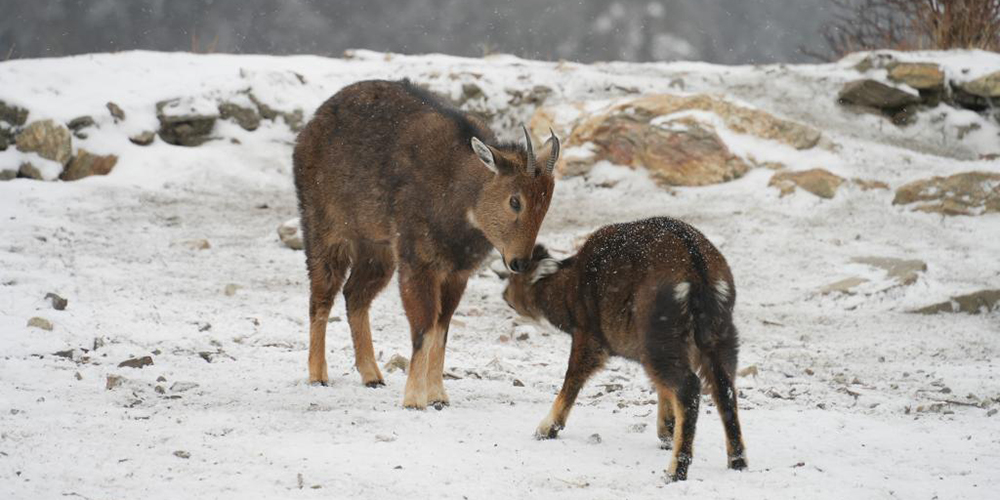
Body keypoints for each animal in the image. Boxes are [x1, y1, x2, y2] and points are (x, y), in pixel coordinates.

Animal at [293, 79, 559, 409]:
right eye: (515, 200)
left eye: (546, 203)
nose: (520, 261)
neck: (458, 194)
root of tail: (308, 130)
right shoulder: (418, 262)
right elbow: (423, 328)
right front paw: (414, 399)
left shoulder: (457, 273)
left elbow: (441, 330)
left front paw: (438, 396)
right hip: (325, 228)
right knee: (321, 296)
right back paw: (318, 375)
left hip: (377, 247)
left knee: (355, 295)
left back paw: (372, 375)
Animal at [502, 217, 747, 482]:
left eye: (515, 277)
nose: (504, 295)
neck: (566, 297)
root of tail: (698, 271)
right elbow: (662, 388)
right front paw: (666, 433)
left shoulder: (589, 334)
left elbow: (573, 377)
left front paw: (546, 429)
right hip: (719, 333)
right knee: (724, 386)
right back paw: (737, 461)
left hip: (660, 335)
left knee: (689, 386)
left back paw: (675, 472)